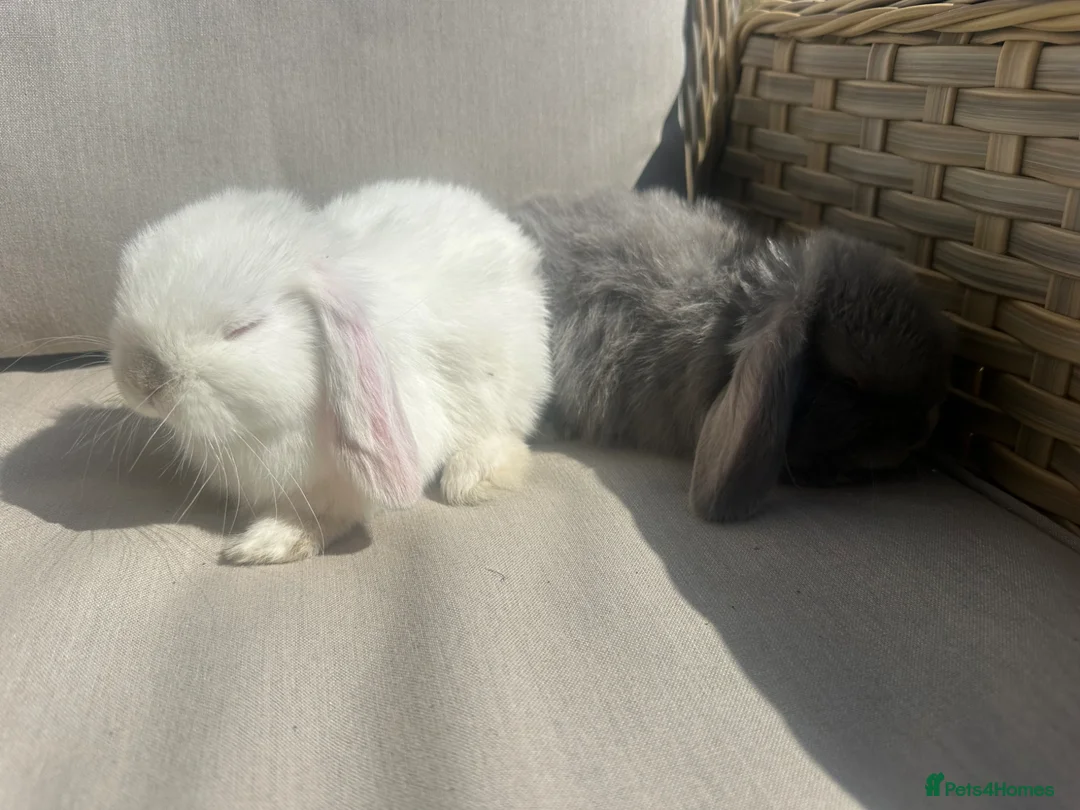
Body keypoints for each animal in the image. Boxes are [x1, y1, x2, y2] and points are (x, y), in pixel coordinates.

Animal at [109, 179, 552, 565]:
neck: (257, 432)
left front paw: (266, 544)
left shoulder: (342, 484)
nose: (143, 380)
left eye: (243, 328)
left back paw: (471, 478)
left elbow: (324, 515)